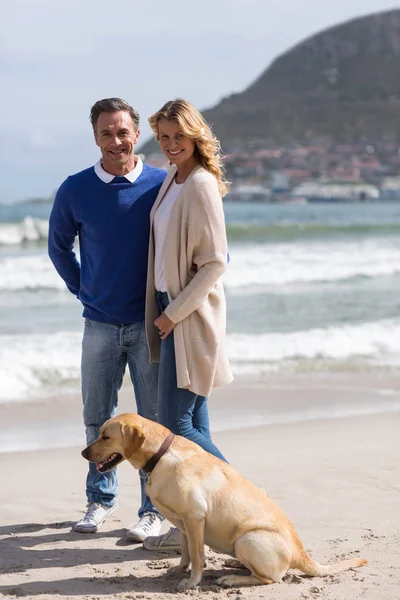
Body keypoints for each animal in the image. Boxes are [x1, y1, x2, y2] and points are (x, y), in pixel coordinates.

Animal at [83, 412, 368, 592]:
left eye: (106, 436)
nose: (83, 452)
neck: (160, 455)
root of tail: (301, 554)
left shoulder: (195, 517)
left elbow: (198, 556)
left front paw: (192, 583)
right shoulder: (183, 523)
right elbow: (186, 552)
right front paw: (178, 570)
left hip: (247, 539)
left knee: (271, 579)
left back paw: (231, 579)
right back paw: (234, 565)